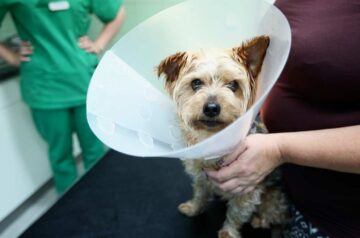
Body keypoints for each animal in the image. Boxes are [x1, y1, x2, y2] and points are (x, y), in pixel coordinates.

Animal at [156, 35, 288, 238]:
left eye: (233, 85)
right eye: (196, 83)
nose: (211, 108)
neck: (213, 141)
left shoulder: (247, 190)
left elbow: (236, 213)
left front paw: (228, 233)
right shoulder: (201, 177)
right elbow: (200, 193)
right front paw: (194, 208)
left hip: (273, 197)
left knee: (275, 215)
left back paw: (260, 221)